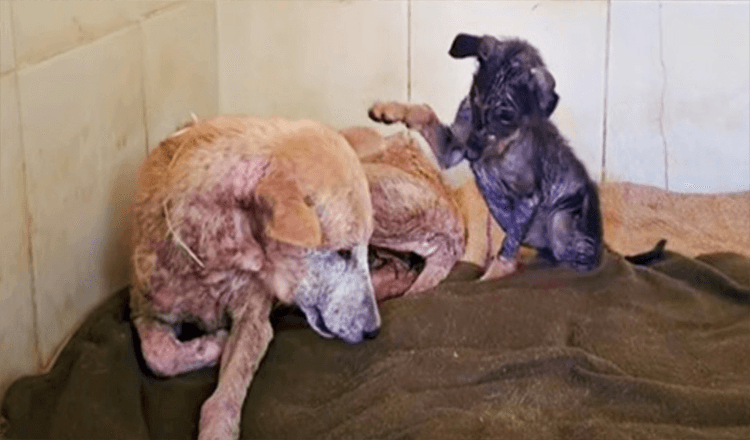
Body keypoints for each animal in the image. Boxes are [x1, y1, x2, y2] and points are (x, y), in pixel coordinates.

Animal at [129, 117, 382, 440]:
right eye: (342, 251)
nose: (374, 331)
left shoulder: (254, 319)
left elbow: (224, 397)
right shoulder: (144, 311)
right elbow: (158, 356)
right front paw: (214, 344)